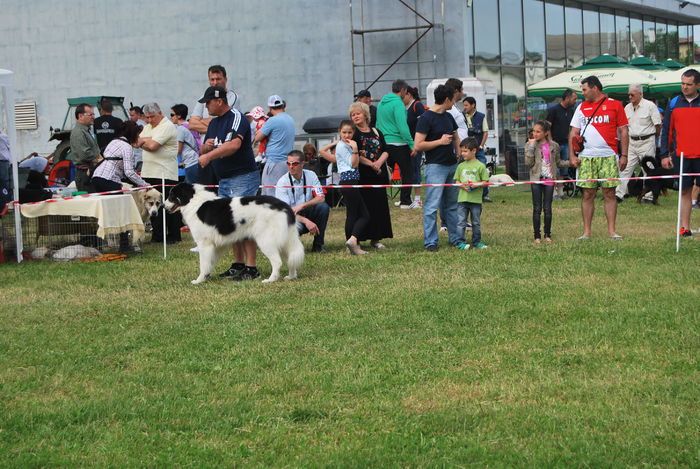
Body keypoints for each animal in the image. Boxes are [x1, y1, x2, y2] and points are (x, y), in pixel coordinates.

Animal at [167, 184, 306, 284]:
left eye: (172, 195)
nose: (163, 205)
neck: (194, 202)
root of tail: (285, 207)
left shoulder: (204, 244)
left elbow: (203, 264)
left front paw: (199, 280)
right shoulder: (217, 246)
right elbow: (210, 263)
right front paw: (207, 276)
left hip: (266, 240)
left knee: (277, 261)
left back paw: (270, 280)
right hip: (284, 241)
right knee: (291, 259)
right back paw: (291, 277)